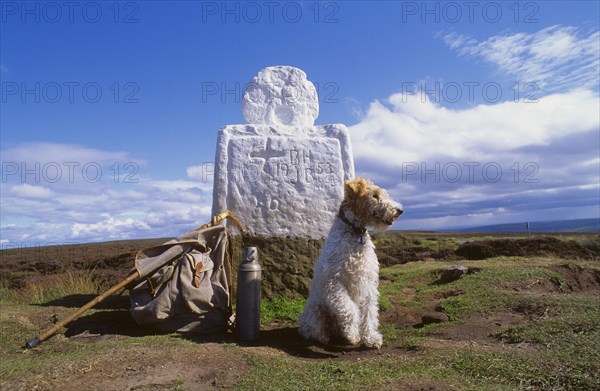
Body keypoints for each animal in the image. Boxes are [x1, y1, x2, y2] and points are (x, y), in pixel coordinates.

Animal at [298, 178, 404, 350]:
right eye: (375, 195)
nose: (400, 210)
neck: (355, 233)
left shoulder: (368, 283)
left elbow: (369, 314)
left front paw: (371, 338)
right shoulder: (334, 283)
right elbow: (349, 309)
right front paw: (352, 335)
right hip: (315, 310)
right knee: (309, 329)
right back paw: (323, 337)